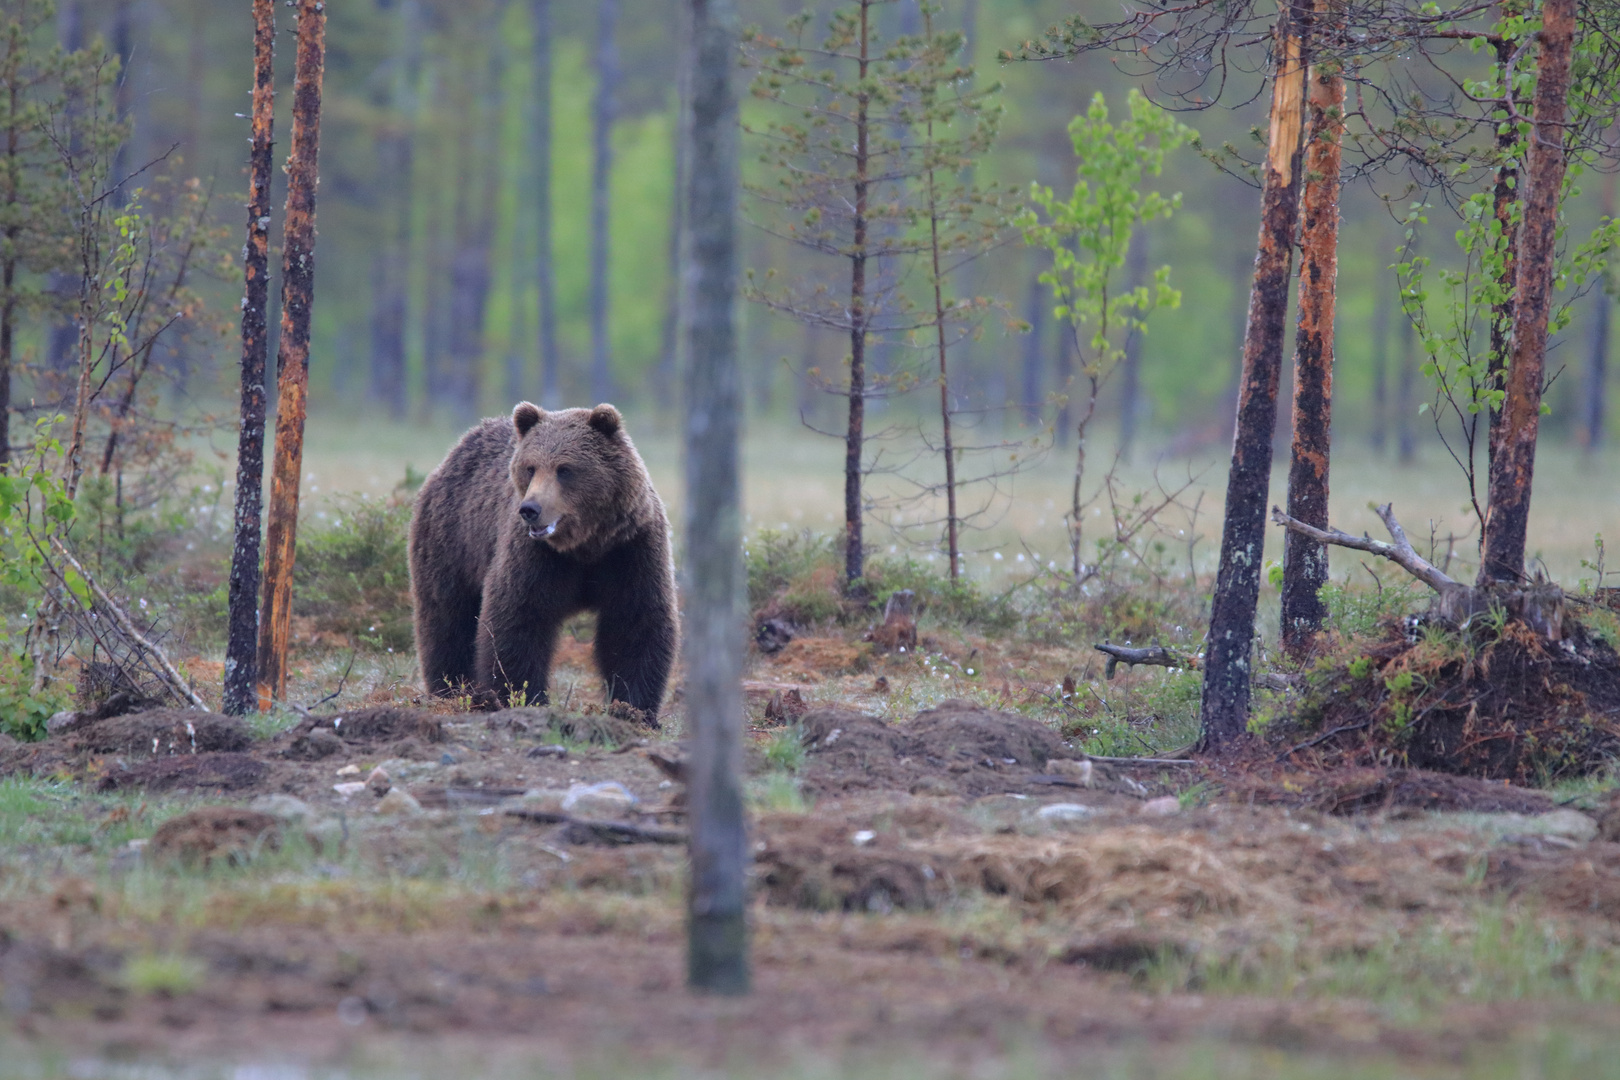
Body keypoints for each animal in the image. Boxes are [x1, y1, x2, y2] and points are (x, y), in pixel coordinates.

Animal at [411, 401, 683, 722]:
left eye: (565, 469)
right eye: (530, 467)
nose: (530, 509)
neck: (585, 546)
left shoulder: (630, 550)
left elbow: (635, 622)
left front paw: (633, 708)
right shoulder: (535, 557)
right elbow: (518, 617)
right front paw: (522, 696)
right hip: (453, 541)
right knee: (447, 617)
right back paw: (451, 689)